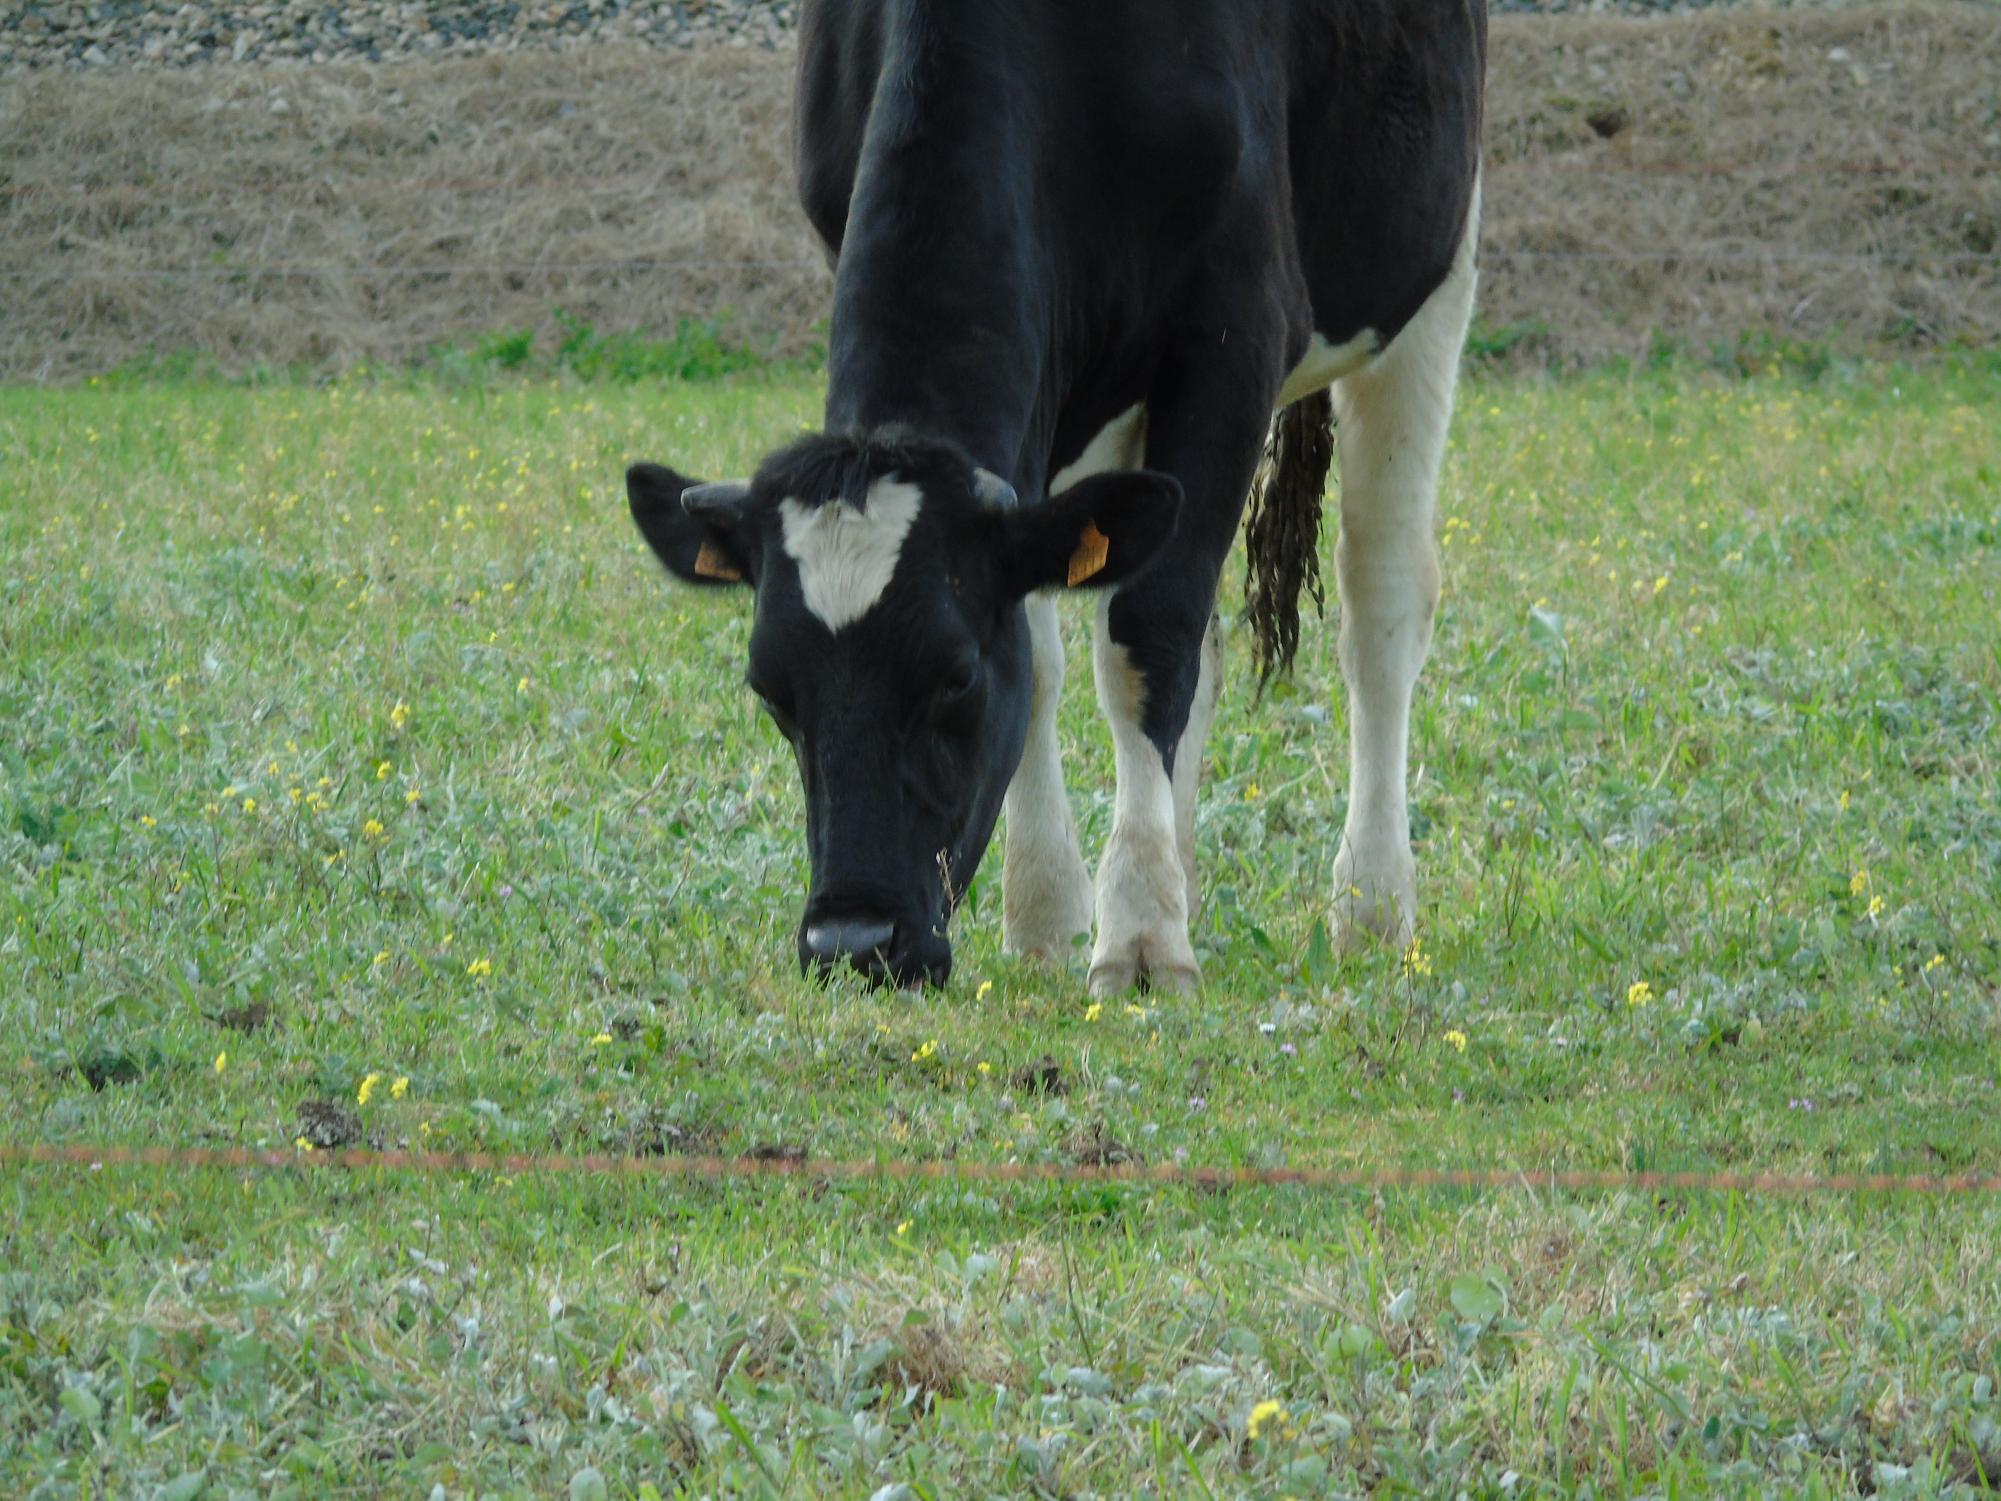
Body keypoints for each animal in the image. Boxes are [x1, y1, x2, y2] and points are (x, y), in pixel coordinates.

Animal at [627, 0, 1484, 992]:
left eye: (955, 675)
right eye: (769, 689)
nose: (852, 943)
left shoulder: (1236, 330)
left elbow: (1144, 637)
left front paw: (1142, 936)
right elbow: (1048, 659)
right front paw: (1048, 915)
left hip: (1432, 260)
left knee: (1378, 599)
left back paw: (1371, 908)